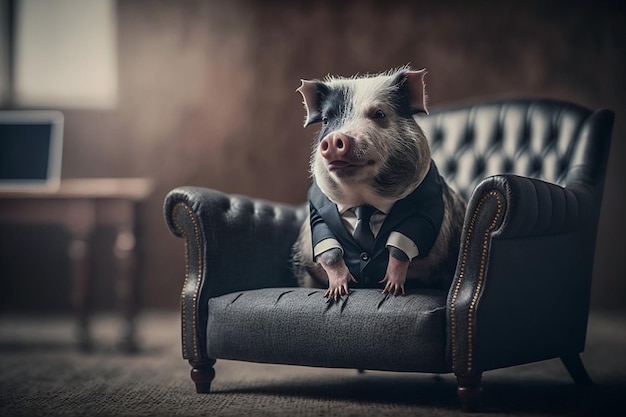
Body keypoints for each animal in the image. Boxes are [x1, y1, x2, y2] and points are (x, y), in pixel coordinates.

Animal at [292, 65, 464, 300]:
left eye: (379, 114)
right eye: (326, 120)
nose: (335, 138)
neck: (364, 200)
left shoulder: (427, 203)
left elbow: (404, 241)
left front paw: (391, 288)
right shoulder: (318, 211)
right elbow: (328, 246)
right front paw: (338, 291)